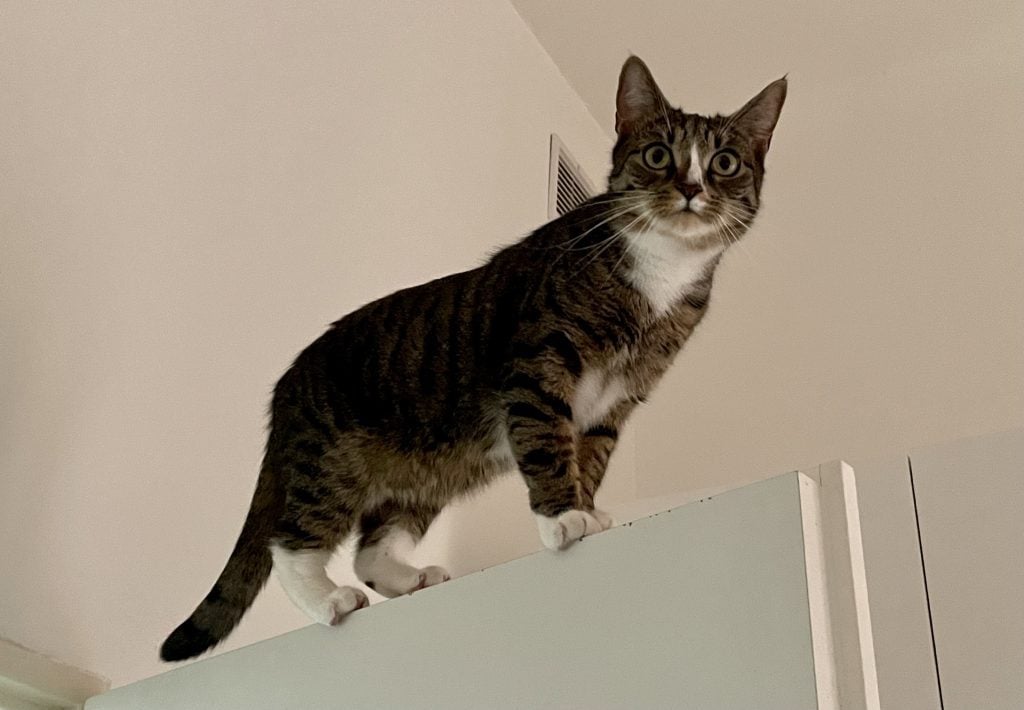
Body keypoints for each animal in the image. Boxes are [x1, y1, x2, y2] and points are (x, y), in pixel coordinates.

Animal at [159, 54, 786, 659]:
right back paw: (327, 600)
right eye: (658, 155)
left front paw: (589, 510)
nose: (692, 188)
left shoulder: (620, 398)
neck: (660, 271)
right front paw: (565, 517)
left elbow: (591, 456)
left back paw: (409, 578)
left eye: (724, 163)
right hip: (330, 461)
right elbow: (548, 441)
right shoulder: (540, 358)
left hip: (428, 471)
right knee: (290, 541)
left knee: (371, 547)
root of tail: (286, 384)